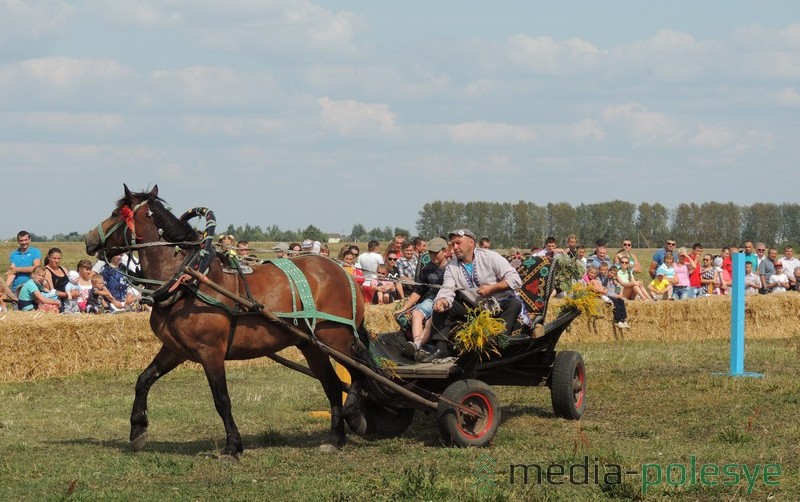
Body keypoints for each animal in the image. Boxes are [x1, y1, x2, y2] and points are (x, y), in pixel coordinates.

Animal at [84, 184, 366, 458]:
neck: (189, 279)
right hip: (311, 345)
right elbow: (144, 379)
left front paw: (233, 445)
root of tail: (344, 273)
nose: (89, 238)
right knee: (332, 384)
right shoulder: (176, 349)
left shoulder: (211, 351)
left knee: (357, 371)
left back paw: (355, 415)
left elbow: (221, 398)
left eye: (115, 214)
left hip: (336, 340)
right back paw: (335, 438)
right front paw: (137, 429)